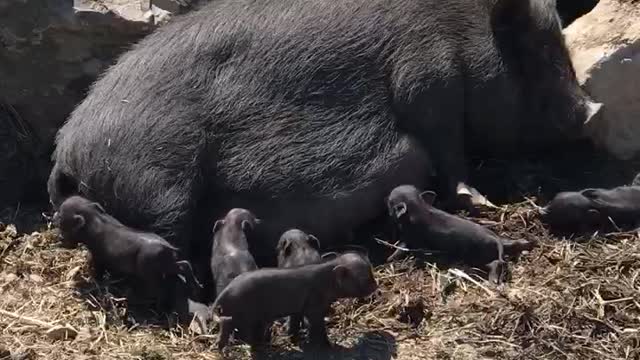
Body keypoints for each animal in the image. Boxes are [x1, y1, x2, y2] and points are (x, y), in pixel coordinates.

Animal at [48, 0, 600, 298]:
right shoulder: (427, 76)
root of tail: (66, 150)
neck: (461, 27)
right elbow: (447, 151)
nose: (587, 112)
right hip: (156, 181)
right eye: (532, 48)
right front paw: (474, 197)